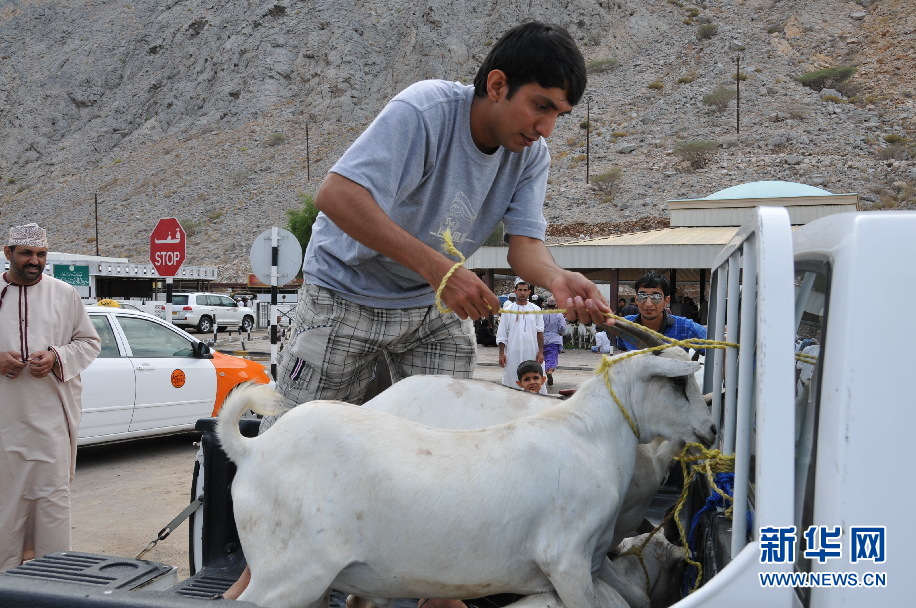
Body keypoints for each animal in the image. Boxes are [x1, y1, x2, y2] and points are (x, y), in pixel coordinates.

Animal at [216, 346, 716, 608]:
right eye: (678, 383)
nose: (711, 429)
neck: (589, 435)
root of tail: (252, 448)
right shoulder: (566, 561)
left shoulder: (595, 558)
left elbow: (636, 596)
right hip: (288, 573)